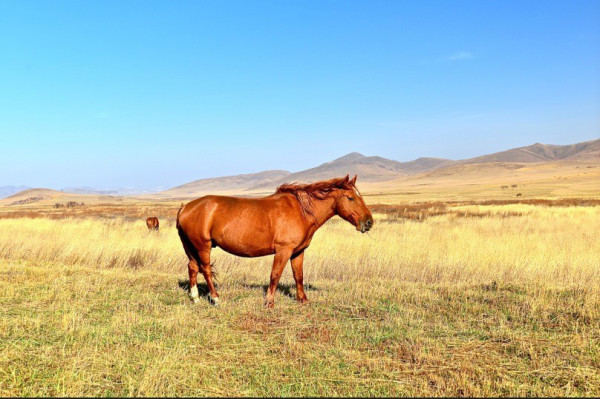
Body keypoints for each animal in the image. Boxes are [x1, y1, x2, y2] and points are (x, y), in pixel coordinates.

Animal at [176, 173, 372, 308]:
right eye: (351, 197)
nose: (369, 222)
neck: (301, 210)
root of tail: (186, 207)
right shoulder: (283, 251)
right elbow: (275, 275)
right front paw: (269, 302)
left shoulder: (298, 252)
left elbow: (298, 275)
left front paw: (303, 300)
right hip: (203, 246)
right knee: (206, 270)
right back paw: (216, 298)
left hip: (192, 247)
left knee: (193, 267)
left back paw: (195, 298)